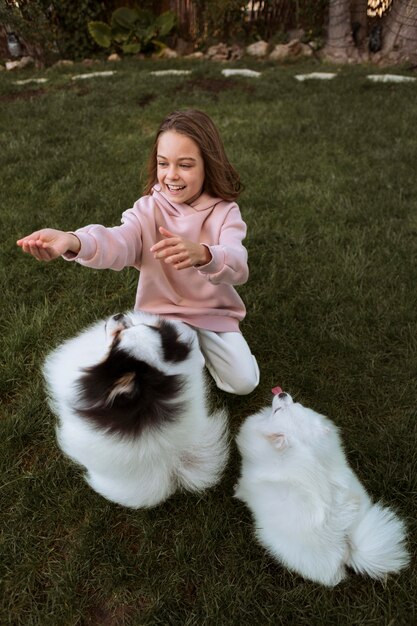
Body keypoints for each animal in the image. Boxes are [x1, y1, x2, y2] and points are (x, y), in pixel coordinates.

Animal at [234, 386, 410, 584]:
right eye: (297, 404)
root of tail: (345, 541)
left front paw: (235, 490)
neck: (304, 447)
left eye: (278, 410)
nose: (282, 394)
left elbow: (242, 489)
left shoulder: (248, 481)